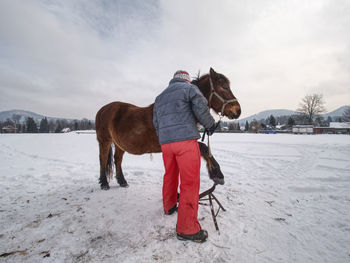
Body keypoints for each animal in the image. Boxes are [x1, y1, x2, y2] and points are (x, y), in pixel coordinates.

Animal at [93, 68, 241, 191]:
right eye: (224, 87)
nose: (238, 110)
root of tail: (103, 109)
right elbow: (204, 147)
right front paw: (217, 174)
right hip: (104, 141)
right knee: (103, 159)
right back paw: (104, 183)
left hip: (119, 144)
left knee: (117, 160)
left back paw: (122, 181)